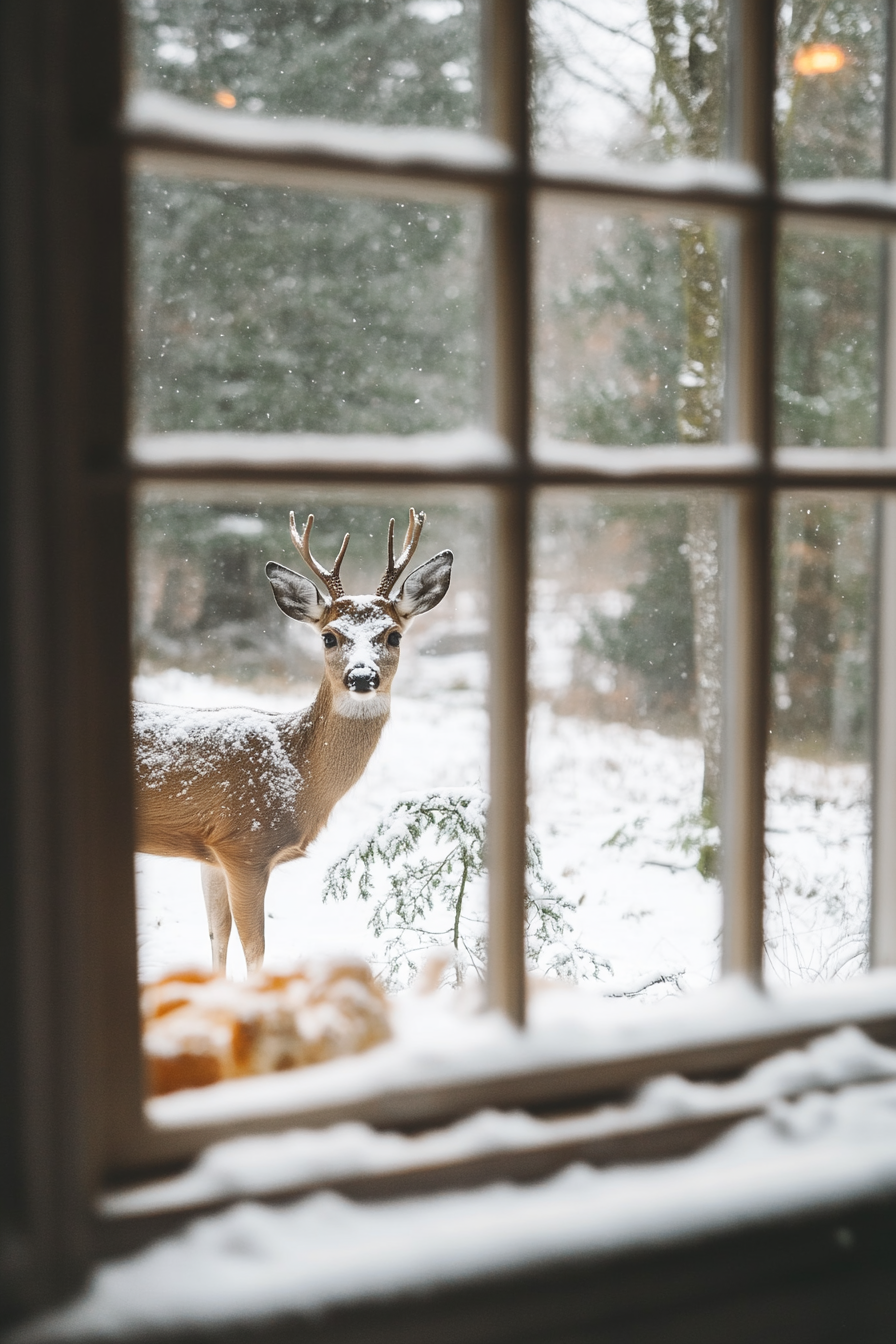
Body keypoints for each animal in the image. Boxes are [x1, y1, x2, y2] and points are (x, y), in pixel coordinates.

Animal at [132, 508, 456, 973]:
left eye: (393, 635)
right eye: (329, 636)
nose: (361, 677)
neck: (298, 769)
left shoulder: (209, 851)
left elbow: (216, 939)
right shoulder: (245, 844)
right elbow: (255, 950)